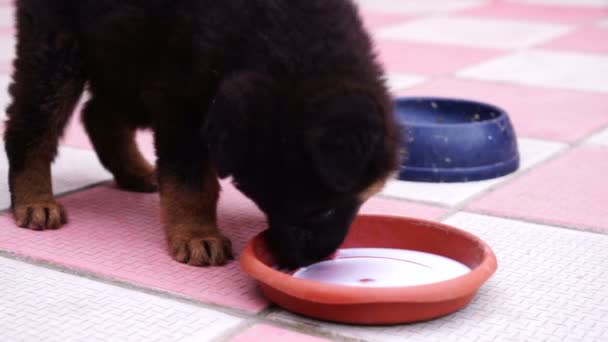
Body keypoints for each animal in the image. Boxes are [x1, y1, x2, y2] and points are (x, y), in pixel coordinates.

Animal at [7, 0, 402, 268]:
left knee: (97, 115)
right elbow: (191, 182)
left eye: (326, 208)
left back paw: (135, 172)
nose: (298, 261)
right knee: (30, 125)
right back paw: (34, 200)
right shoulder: (179, 103)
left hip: (123, 52)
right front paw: (198, 235)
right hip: (59, 45)